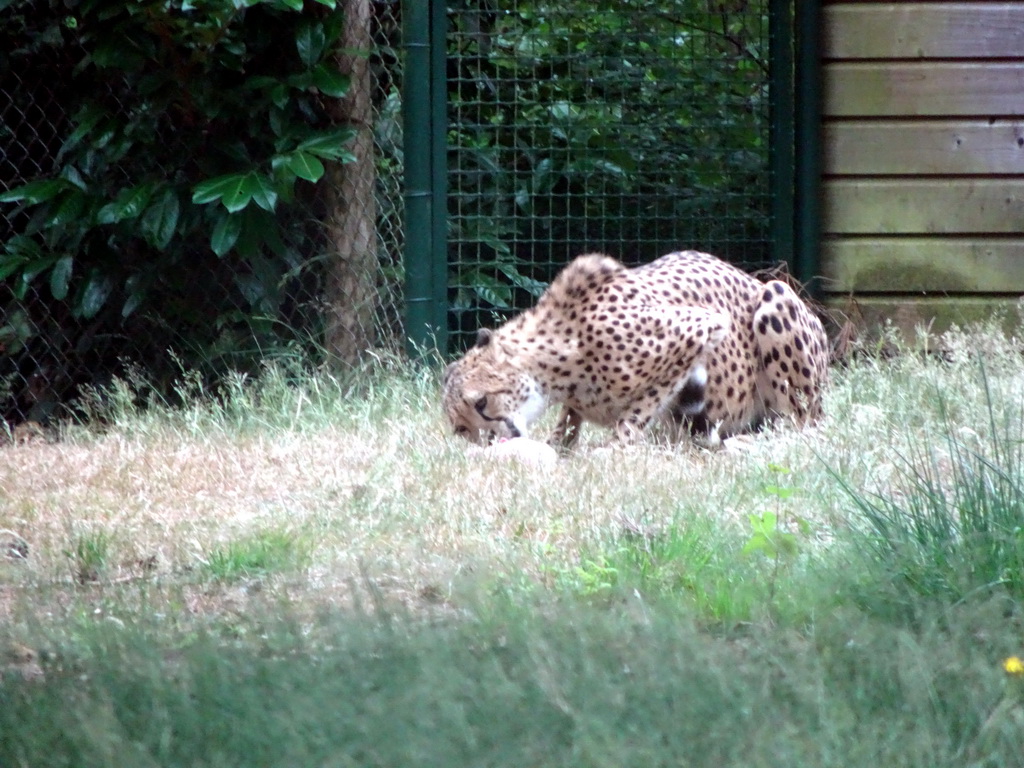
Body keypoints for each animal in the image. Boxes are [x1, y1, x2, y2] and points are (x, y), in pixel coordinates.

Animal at [444, 249, 827, 448]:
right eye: (461, 429)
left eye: (482, 403)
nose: (490, 441)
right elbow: (569, 420)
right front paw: (559, 444)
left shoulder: (701, 328)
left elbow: (642, 406)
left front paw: (617, 445)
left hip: (776, 294)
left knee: (800, 424)